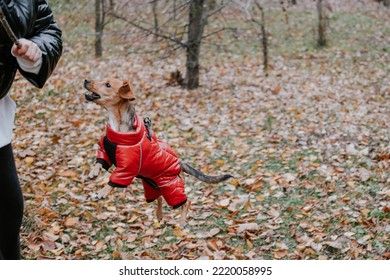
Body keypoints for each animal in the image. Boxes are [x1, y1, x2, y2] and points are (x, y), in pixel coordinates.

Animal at [84, 79, 230, 225]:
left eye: (108, 85)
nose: (86, 80)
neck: (117, 127)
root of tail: (180, 163)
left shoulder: (127, 168)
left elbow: (113, 180)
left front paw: (102, 192)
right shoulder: (104, 149)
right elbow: (100, 161)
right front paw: (93, 172)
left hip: (172, 187)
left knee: (186, 202)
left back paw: (182, 221)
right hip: (151, 186)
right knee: (159, 198)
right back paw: (159, 215)